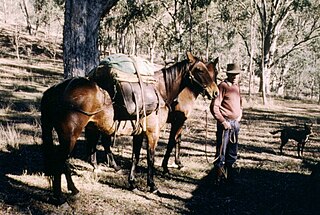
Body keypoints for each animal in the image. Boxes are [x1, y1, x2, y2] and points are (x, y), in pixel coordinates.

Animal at [41, 52, 219, 205]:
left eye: (213, 72)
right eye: (200, 70)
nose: (215, 92)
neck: (160, 90)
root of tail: (56, 89)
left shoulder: (139, 134)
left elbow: (135, 157)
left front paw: (132, 183)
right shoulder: (153, 134)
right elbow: (151, 158)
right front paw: (153, 185)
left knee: (65, 161)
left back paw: (73, 188)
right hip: (70, 136)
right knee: (61, 161)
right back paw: (60, 197)